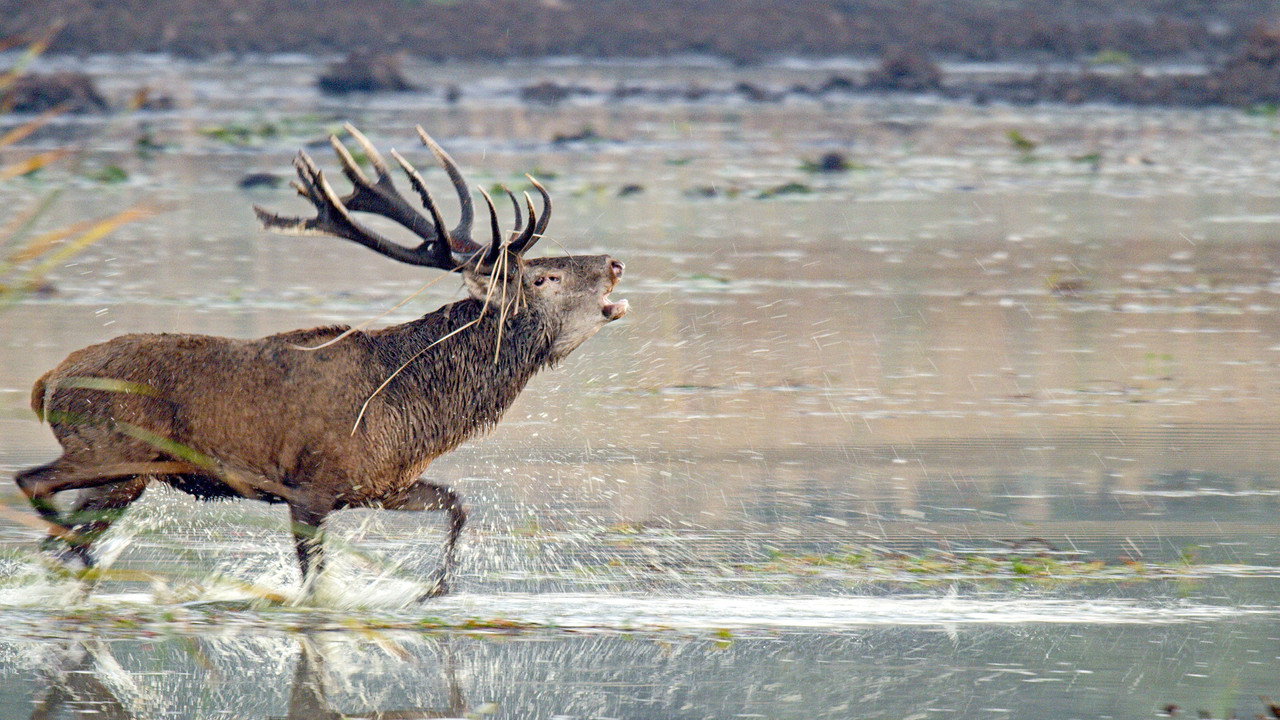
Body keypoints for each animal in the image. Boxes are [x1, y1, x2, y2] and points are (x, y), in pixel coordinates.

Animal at [13, 124, 628, 599]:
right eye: (544, 278)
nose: (614, 262)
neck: (411, 411)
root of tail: (46, 382)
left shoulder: (384, 484)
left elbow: (458, 505)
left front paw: (435, 590)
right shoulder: (309, 489)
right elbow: (314, 587)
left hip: (125, 478)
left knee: (63, 522)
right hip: (106, 447)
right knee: (31, 481)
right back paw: (78, 559)